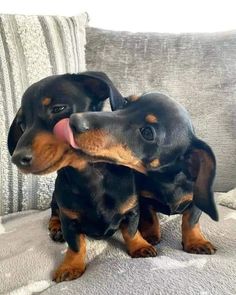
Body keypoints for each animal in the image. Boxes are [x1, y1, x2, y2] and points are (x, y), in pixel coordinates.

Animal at [6, 73, 157, 284]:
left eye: (58, 109)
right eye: (21, 124)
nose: (17, 159)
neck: (89, 176)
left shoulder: (132, 210)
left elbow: (131, 231)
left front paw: (140, 246)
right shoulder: (69, 220)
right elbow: (76, 245)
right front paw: (71, 266)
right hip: (55, 199)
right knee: (54, 213)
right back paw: (56, 228)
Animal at [69, 93, 218, 256]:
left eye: (147, 132)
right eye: (126, 102)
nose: (73, 120)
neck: (166, 181)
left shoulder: (195, 202)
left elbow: (191, 221)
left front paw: (196, 241)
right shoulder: (143, 199)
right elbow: (150, 217)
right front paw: (149, 236)